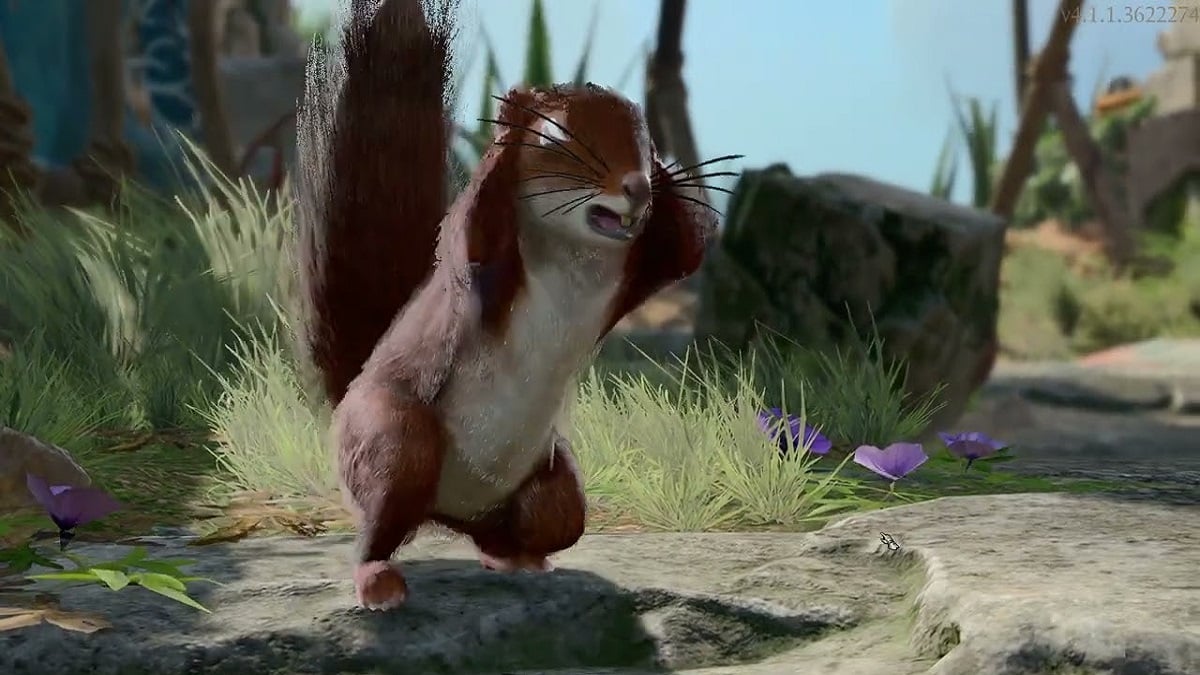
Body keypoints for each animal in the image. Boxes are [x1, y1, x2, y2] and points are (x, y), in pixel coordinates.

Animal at [297, 0, 727, 610]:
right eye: (557, 138)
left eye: (645, 142)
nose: (639, 187)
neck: (577, 256)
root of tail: (446, 513)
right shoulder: (480, 271)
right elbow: (474, 232)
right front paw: (510, 118)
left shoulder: (638, 270)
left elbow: (686, 249)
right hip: (394, 439)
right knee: (381, 518)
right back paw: (377, 578)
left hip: (552, 488)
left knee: (526, 526)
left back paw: (518, 559)